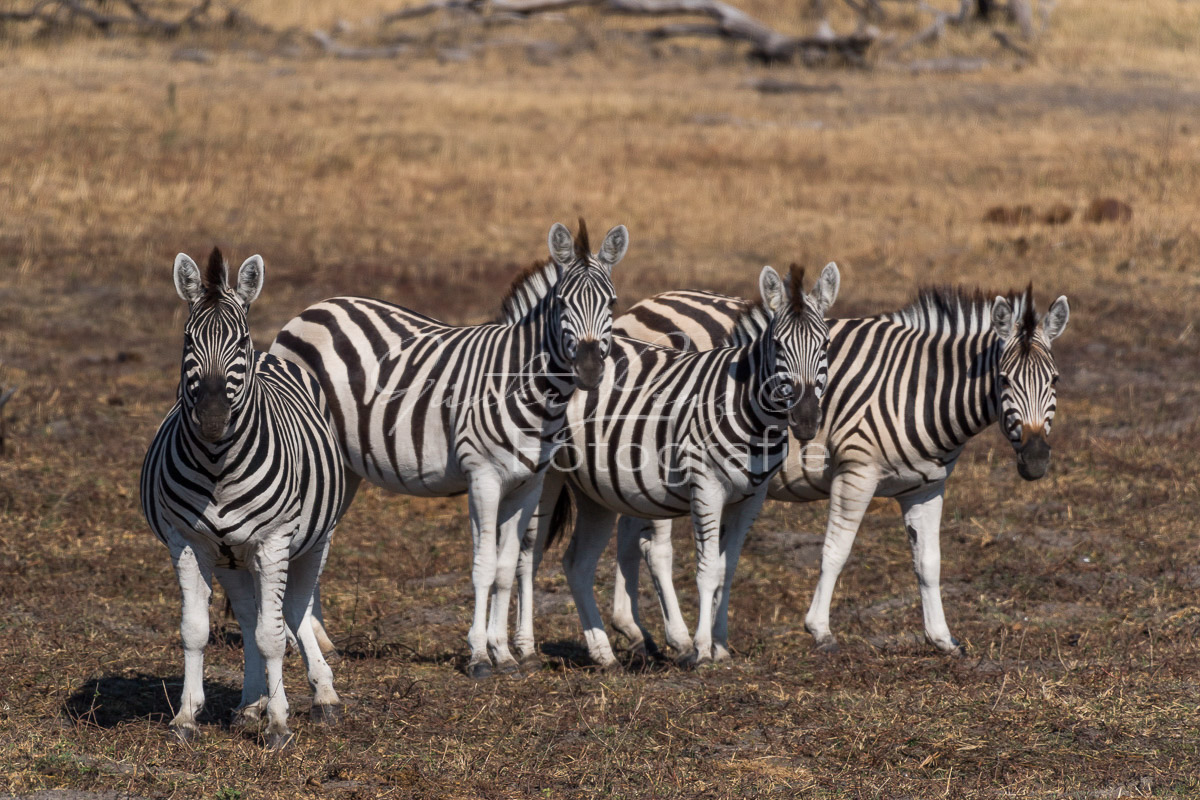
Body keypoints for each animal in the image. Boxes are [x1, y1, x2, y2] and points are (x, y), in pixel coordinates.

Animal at [142, 247, 348, 748]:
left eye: (239, 343)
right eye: (188, 340)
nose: (213, 419)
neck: (219, 465)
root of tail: (273, 356)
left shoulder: (273, 542)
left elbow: (273, 635)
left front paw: (279, 724)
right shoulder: (189, 542)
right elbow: (196, 631)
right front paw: (186, 718)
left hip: (314, 540)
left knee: (293, 610)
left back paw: (323, 697)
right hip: (230, 557)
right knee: (254, 612)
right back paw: (250, 704)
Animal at [271, 219, 628, 676]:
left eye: (612, 302)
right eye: (563, 303)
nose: (589, 370)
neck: (525, 383)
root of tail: (315, 307)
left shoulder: (527, 485)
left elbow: (506, 568)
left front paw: (505, 653)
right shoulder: (484, 477)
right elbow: (483, 566)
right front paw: (479, 656)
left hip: (344, 469)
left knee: (321, 540)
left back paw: (322, 643)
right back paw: (298, 643)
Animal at [511, 263, 840, 671]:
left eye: (825, 345)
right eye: (778, 345)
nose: (807, 420)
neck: (744, 407)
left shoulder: (751, 497)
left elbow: (728, 569)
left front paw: (721, 645)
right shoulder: (706, 486)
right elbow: (708, 569)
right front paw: (701, 650)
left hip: (595, 488)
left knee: (577, 563)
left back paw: (604, 654)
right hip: (549, 476)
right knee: (528, 555)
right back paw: (524, 650)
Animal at [609, 284, 1070, 662]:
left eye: (1055, 380)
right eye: (1004, 379)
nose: (1035, 460)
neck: (920, 390)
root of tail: (643, 306)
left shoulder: (926, 487)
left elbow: (929, 563)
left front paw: (942, 638)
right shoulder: (856, 473)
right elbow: (836, 551)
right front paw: (820, 630)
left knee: (629, 538)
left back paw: (634, 633)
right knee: (655, 549)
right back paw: (679, 639)